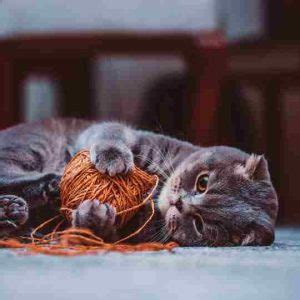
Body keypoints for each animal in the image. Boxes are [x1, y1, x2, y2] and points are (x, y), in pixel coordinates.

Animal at [0, 119, 278, 246]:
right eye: (203, 182)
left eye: (200, 224)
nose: (179, 202)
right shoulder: (123, 132)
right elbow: (110, 135)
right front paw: (113, 160)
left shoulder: (129, 234)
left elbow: (102, 231)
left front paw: (96, 215)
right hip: (34, 146)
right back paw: (49, 186)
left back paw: (14, 210)